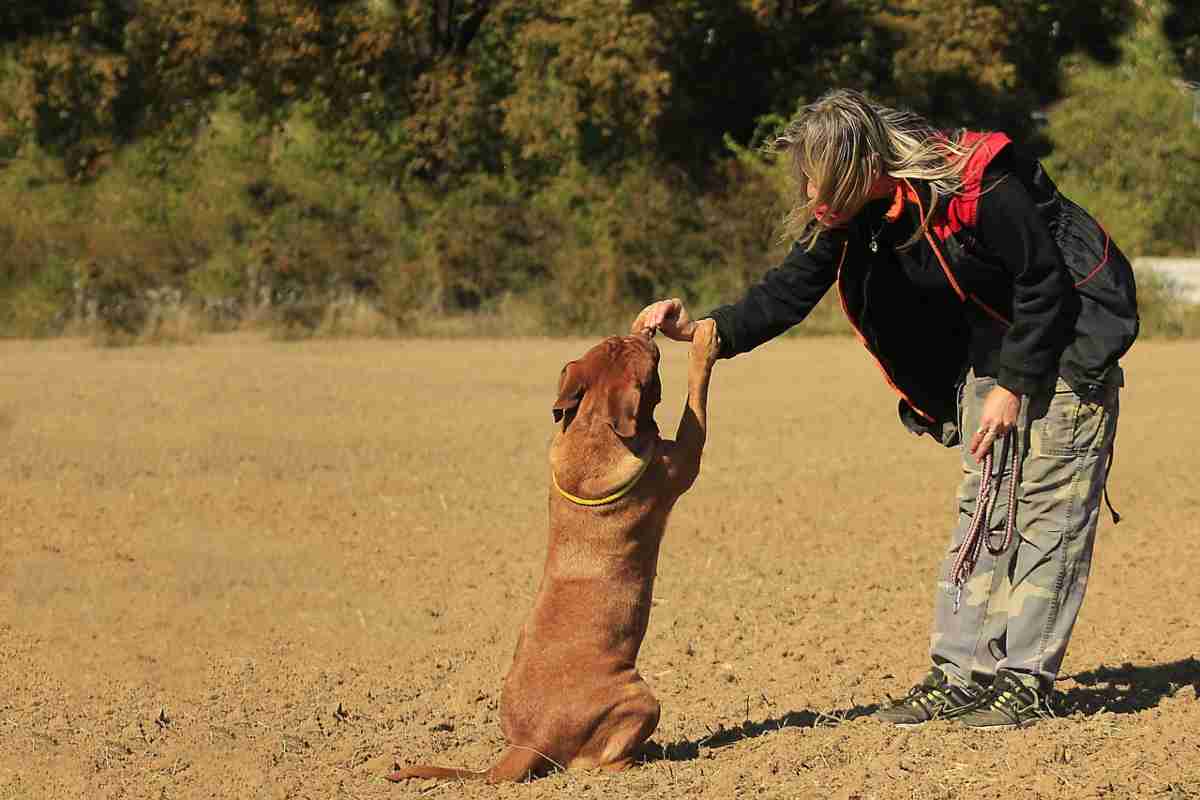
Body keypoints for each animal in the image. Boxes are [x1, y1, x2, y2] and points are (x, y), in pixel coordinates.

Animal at [388, 319, 715, 782]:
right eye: (646, 358)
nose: (644, 330)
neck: (594, 427)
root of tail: (531, 743)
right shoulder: (684, 458)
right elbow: (696, 400)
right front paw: (705, 343)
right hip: (641, 699)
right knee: (599, 762)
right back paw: (649, 758)